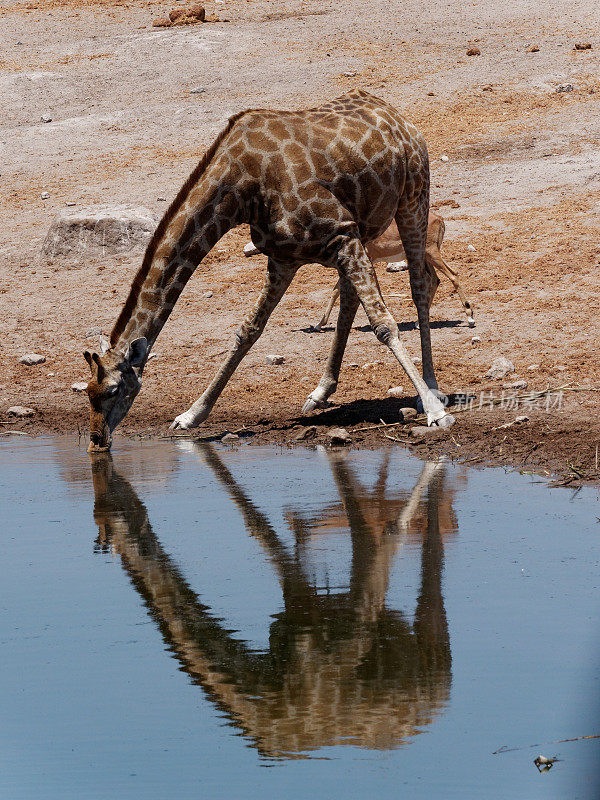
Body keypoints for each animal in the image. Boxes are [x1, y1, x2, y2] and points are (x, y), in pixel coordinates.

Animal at [84, 90, 454, 454]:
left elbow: (384, 324)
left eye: (114, 390)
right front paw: (191, 414)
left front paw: (436, 412)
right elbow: (248, 330)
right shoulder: (284, 258)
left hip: (413, 198)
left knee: (420, 285)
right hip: (365, 228)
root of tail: (396, 115)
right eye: (88, 391)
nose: (96, 441)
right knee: (351, 296)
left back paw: (432, 389)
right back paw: (320, 393)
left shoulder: (341, 235)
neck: (242, 187)